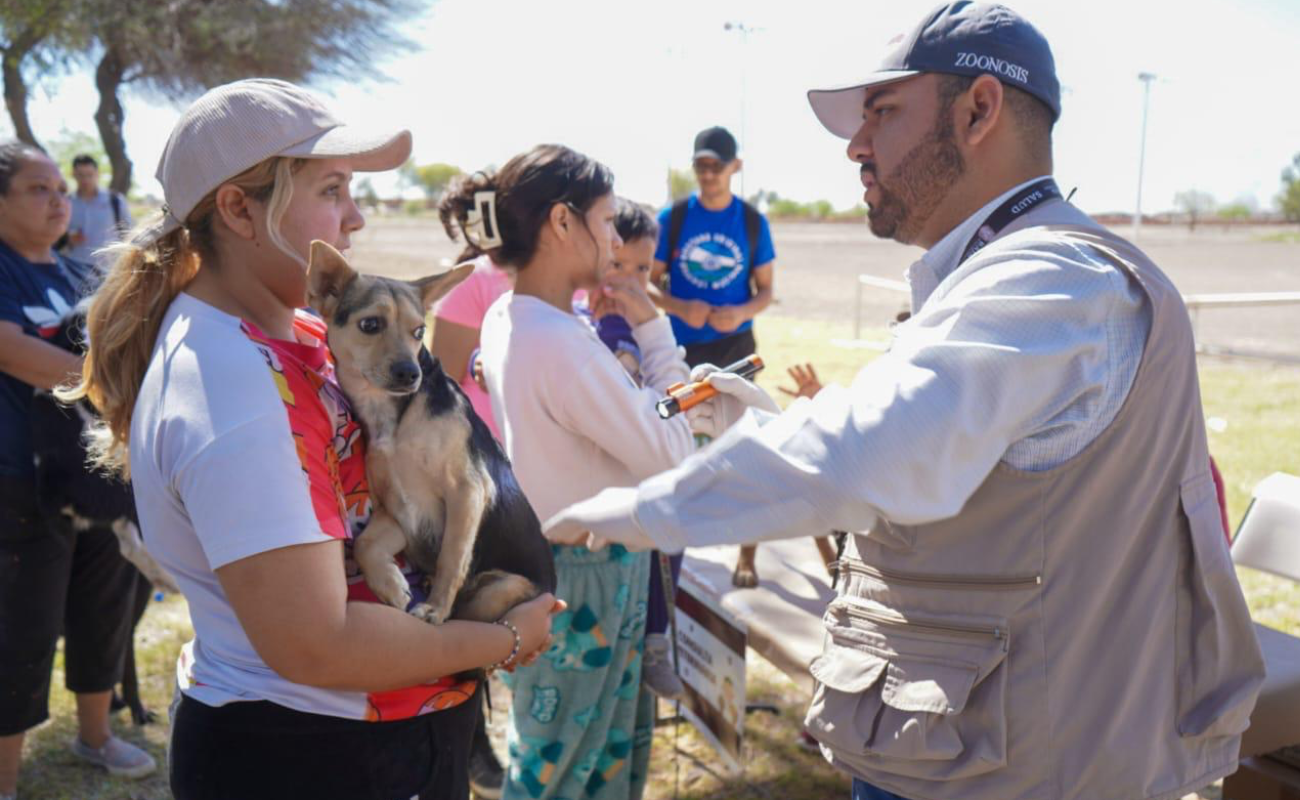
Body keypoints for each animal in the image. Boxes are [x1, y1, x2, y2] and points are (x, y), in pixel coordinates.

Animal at [306, 240, 556, 629]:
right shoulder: (395, 513)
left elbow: (451, 557)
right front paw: (391, 586)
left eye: (419, 332)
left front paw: (435, 608)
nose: (410, 373)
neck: (394, 418)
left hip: (497, 592)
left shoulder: (467, 490)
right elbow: (365, 545)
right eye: (370, 324)